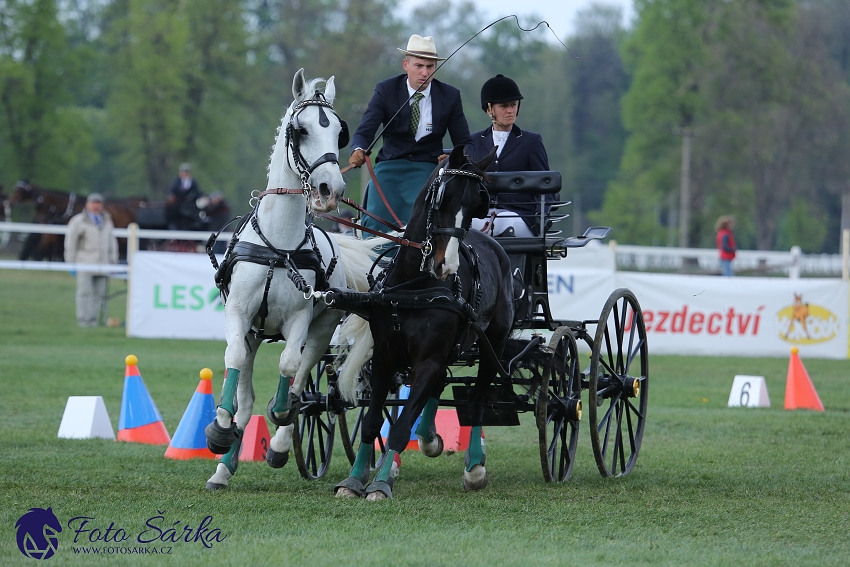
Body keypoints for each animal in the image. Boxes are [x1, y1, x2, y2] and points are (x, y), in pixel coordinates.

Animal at [330, 146, 510, 502]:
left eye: (476, 205)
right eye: (443, 199)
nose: (446, 266)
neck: (414, 286)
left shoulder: (428, 359)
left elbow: (400, 427)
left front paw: (381, 485)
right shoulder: (384, 357)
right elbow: (373, 422)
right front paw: (355, 479)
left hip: (491, 345)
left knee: (478, 400)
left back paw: (474, 468)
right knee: (438, 386)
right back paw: (428, 439)